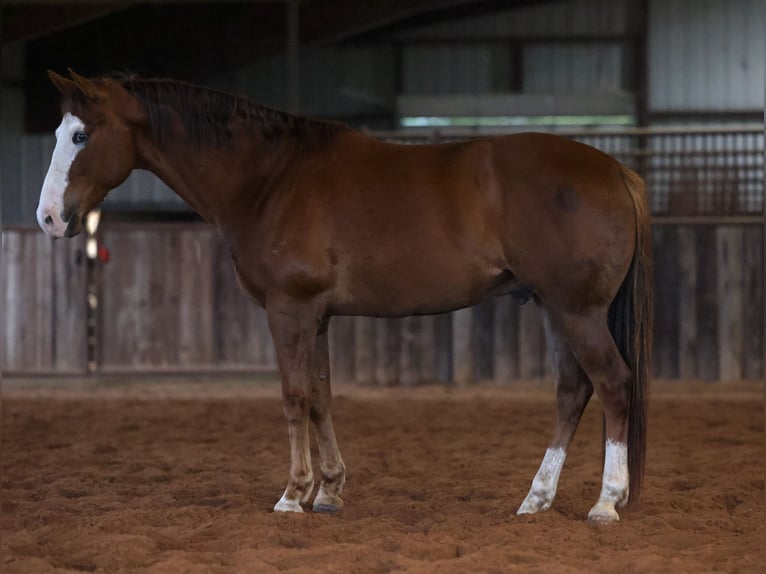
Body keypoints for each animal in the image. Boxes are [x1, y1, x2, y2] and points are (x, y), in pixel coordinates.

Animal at [38, 69, 653, 523]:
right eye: (60, 133)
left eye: (81, 135)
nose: (48, 218)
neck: (270, 179)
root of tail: (615, 170)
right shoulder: (317, 316)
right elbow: (321, 397)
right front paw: (329, 491)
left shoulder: (288, 311)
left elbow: (293, 398)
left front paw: (293, 495)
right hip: (553, 308)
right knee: (572, 391)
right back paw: (536, 499)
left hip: (578, 312)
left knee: (612, 384)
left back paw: (605, 502)